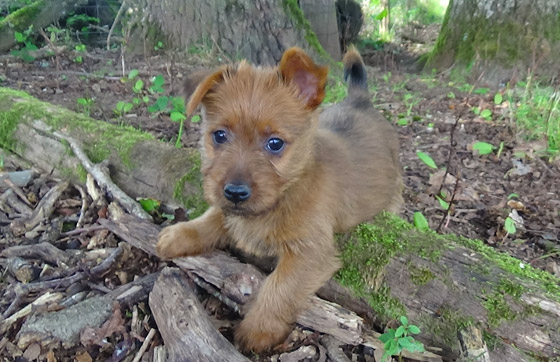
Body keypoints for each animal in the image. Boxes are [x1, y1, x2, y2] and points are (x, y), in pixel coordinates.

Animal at [156, 46, 402, 354]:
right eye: (219, 135)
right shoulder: (230, 211)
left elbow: (280, 288)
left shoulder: (310, 252)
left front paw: (258, 330)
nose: (235, 192)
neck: (284, 194)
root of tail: (361, 100)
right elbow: (212, 217)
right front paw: (179, 233)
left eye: (275, 143)